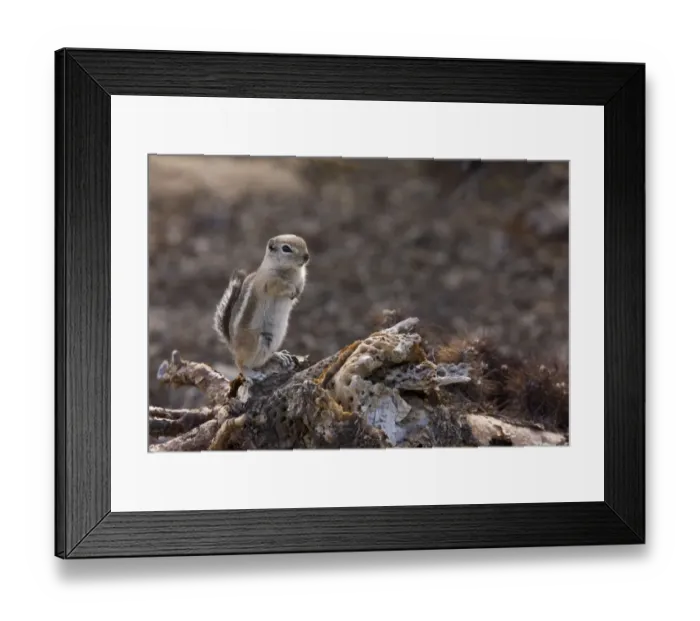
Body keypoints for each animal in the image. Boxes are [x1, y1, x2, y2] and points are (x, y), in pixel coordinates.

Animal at [214, 234, 310, 382]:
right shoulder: (269, 281)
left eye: (304, 243)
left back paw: (279, 356)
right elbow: (280, 286)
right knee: (239, 362)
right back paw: (251, 374)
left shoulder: (301, 279)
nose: (306, 256)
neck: (292, 270)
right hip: (253, 341)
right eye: (286, 248)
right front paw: (291, 290)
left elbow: (301, 286)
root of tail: (232, 345)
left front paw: (297, 292)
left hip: (276, 338)